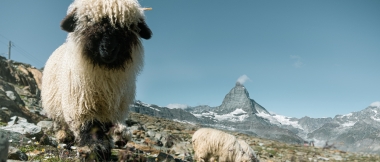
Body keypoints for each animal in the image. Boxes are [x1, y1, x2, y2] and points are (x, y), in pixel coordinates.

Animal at [41, 0, 151, 159]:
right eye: (89, 20)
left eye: (128, 26)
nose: (108, 48)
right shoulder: (81, 104)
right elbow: (90, 127)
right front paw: (93, 148)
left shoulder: (110, 109)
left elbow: (104, 128)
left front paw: (105, 148)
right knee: (60, 121)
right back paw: (64, 137)